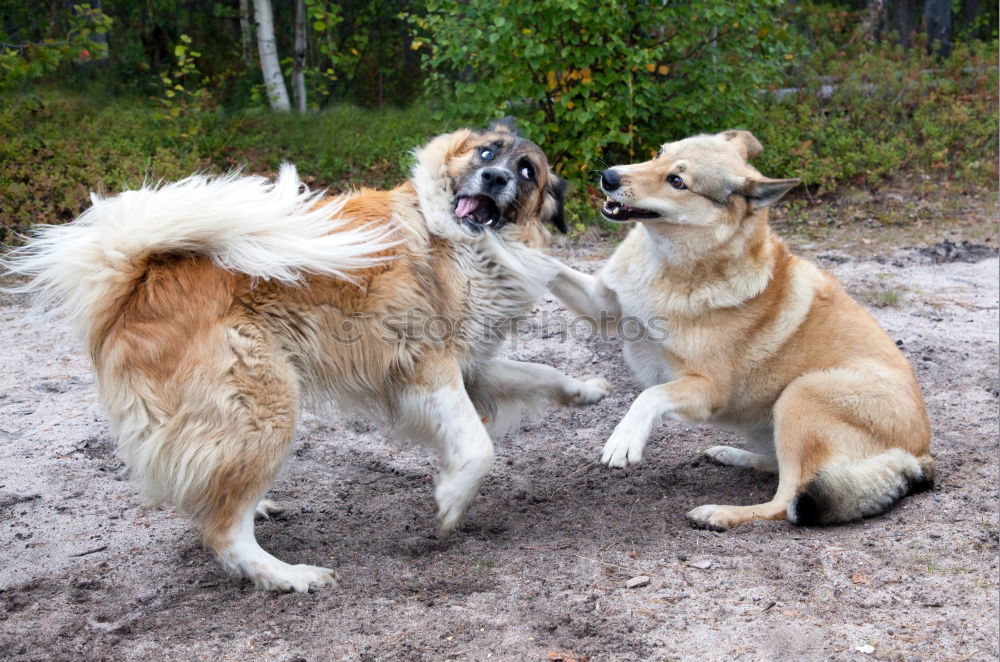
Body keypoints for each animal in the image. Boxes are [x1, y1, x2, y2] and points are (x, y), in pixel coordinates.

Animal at [7, 122, 608, 592]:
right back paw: (287, 576)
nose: (496, 179)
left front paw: (588, 391)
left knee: (210, 487)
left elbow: (542, 373)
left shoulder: (470, 365)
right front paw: (453, 500)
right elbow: (478, 447)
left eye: (526, 171)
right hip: (265, 407)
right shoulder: (428, 368)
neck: (462, 239)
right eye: (487, 153)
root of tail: (136, 278)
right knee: (223, 532)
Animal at [548, 132, 928, 532]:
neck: (667, 264)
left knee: (786, 500)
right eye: (659, 153)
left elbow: (649, 396)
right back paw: (733, 455)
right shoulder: (604, 306)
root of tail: (919, 457)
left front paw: (624, 439)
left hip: (800, 395)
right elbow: (551, 267)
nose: (608, 177)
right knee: (777, 468)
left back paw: (718, 513)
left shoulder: (706, 390)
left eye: (677, 181)